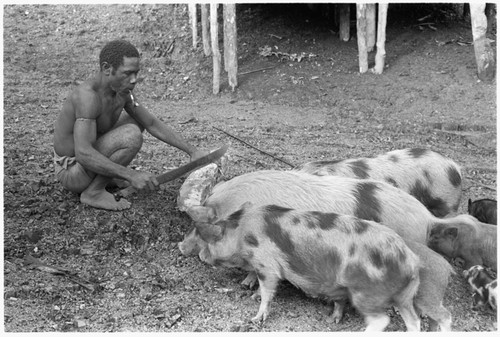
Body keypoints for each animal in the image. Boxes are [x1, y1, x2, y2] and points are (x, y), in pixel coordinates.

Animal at [189, 202, 424, 330]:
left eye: (210, 240)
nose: (200, 256)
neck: (241, 232)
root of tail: (410, 259)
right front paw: (333, 320)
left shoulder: (267, 264)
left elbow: (268, 290)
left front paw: (255, 318)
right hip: (404, 297)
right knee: (414, 321)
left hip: (367, 294)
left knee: (382, 320)